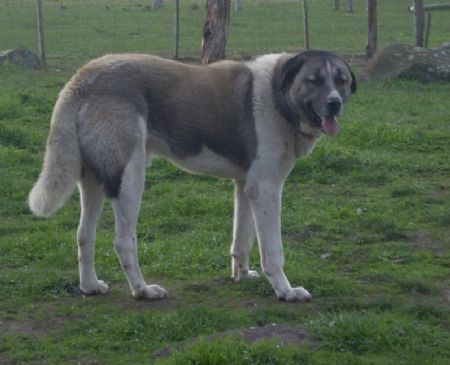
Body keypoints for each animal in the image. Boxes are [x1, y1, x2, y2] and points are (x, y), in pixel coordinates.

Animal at [29, 51, 356, 302]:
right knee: (123, 241)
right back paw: (143, 291)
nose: (335, 103)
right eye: (314, 81)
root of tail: (84, 76)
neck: (278, 96)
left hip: (94, 180)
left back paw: (90, 286)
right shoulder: (266, 189)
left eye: (340, 80)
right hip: (131, 177)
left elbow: (242, 239)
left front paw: (242, 275)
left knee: (84, 235)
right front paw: (286, 291)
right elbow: (273, 251)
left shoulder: (245, 187)